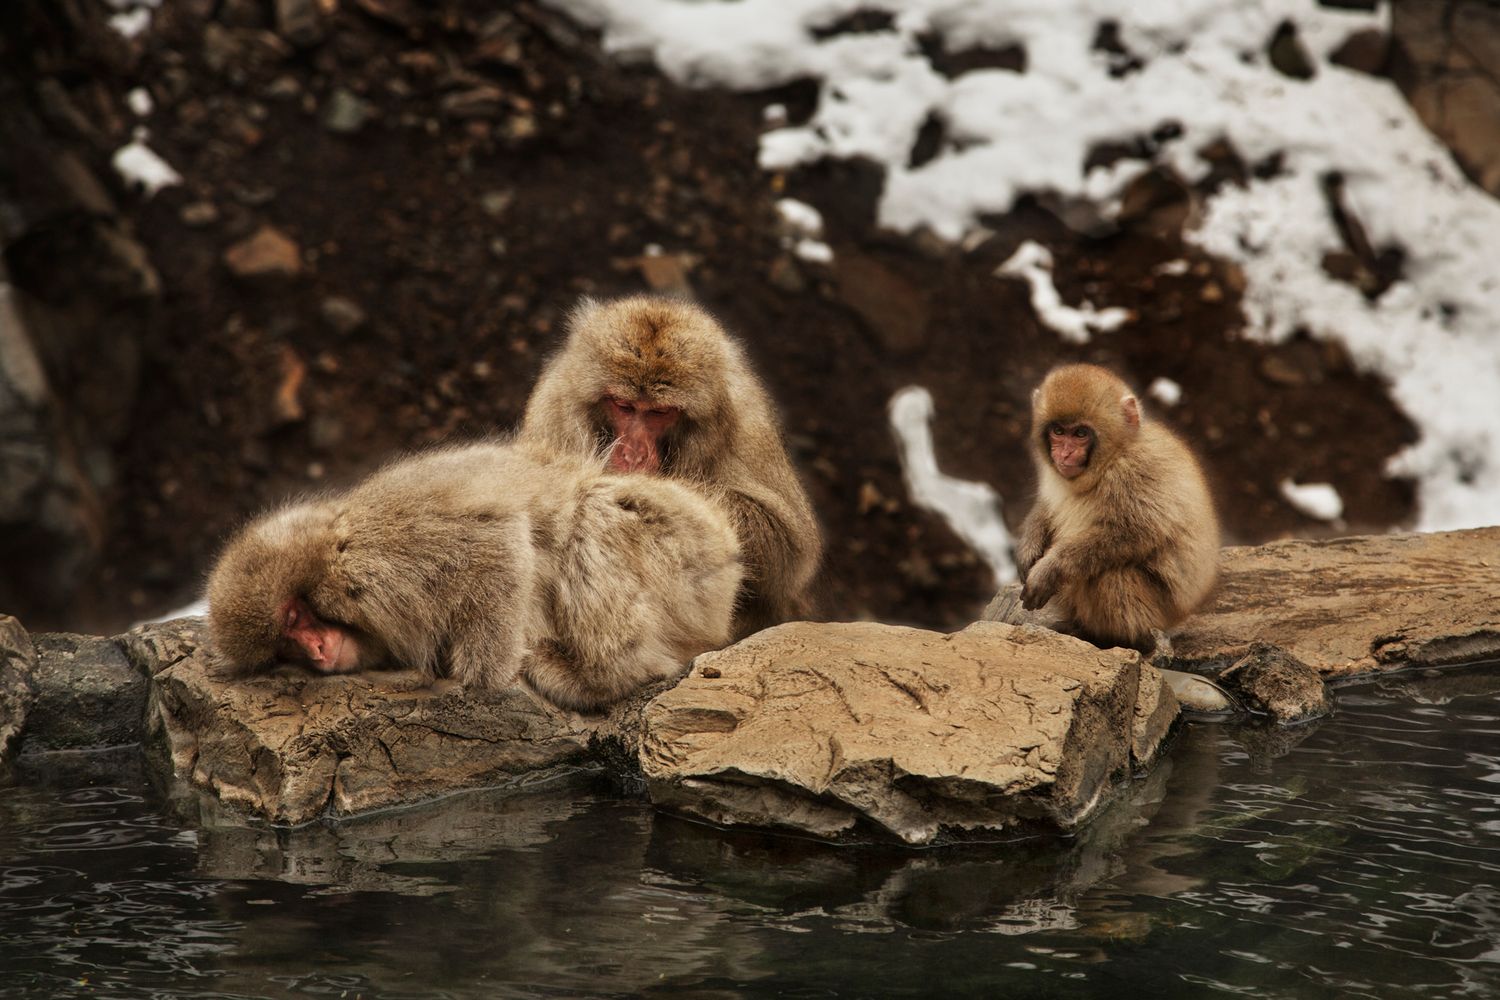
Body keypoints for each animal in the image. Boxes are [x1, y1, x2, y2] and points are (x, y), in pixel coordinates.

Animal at [205, 442, 743, 712]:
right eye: (286, 644)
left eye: (295, 617)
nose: (315, 650)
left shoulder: (372, 561)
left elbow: (495, 546)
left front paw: (484, 681)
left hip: (685, 548)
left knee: (589, 512)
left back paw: (597, 680)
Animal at [517, 295, 822, 638]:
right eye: (623, 406)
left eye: (659, 412)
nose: (633, 454)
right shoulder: (554, 410)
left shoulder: (747, 423)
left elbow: (787, 550)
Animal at [1014, 364, 1219, 652]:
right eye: (1058, 431)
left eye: (1080, 433)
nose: (1064, 454)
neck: (1111, 457)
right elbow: (1047, 505)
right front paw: (1029, 543)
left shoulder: (1136, 471)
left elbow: (1134, 532)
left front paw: (1050, 568)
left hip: (1159, 612)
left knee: (1111, 572)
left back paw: (1123, 640)